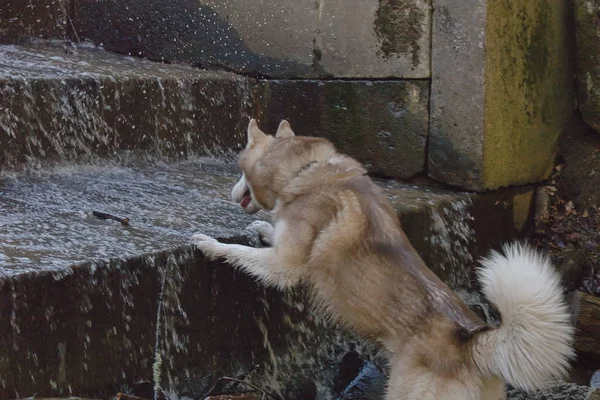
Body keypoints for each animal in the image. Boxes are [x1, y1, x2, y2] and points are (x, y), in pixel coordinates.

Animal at [195, 119, 576, 400]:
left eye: (240, 171)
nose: (231, 192)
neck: (305, 168)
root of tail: (470, 342)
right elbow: (267, 236)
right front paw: (262, 227)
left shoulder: (285, 266)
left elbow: (242, 253)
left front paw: (211, 244)